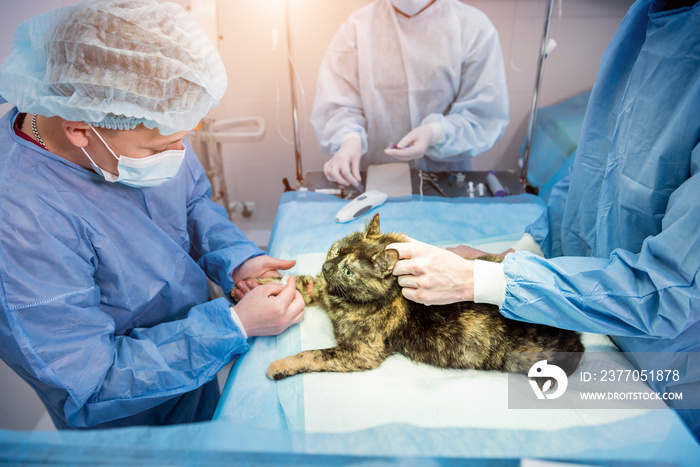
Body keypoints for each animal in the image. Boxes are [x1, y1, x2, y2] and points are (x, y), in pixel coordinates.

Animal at [241, 214, 584, 382]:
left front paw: (279, 365)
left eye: (349, 271)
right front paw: (251, 285)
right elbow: (297, 282)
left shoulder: (359, 352)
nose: (328, 268)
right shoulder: (324, 289)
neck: (345, 301)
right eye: (335, 251)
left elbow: (312, 354)